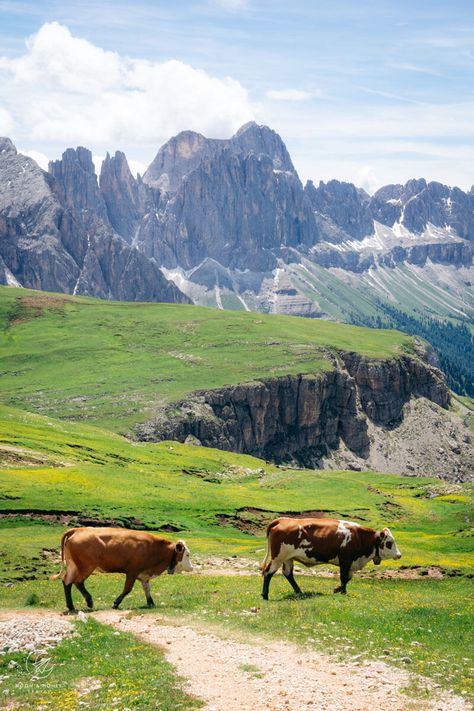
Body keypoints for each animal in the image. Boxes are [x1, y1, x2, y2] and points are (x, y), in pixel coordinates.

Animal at [51, 528, 193, 612]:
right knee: (77, 582)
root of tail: (78, 529)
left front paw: (151, 603)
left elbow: (147, 589)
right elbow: (127, 589)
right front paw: (116, 603)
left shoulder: (144, 574)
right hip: (86, 566)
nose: (192, 568)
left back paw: (71, 606)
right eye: (187, 554)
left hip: (73, 565)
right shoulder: (132, 572)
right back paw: (88, 602)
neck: (154, 548)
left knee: (67, 582)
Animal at [262, 516, 402, 600]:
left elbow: (347, 578)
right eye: (389, 542)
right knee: (268, 573)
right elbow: (344, 578)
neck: (358, 537)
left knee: (288, 574)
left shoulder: (351, 563)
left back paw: (299, 592)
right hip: (278, 558)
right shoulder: (345, 560)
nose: (399, 555)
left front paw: (339, 590)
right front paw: (342, 592)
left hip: (288, 558)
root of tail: (282, 520)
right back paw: (265, 595)